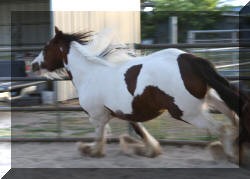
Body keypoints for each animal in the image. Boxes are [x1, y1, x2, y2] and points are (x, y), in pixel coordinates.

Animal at [31, 27, 250, 164]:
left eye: (46, 48)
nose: (33, 65)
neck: (90, 74)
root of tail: (190, 60)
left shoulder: (97, 116)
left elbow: (100, 137)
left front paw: (89, 150)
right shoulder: (126, 112)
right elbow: (139, 131)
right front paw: (151, 150)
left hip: (187, 112)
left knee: (223, 129)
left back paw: (230, 155)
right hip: (211, 98)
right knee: (235, 117)